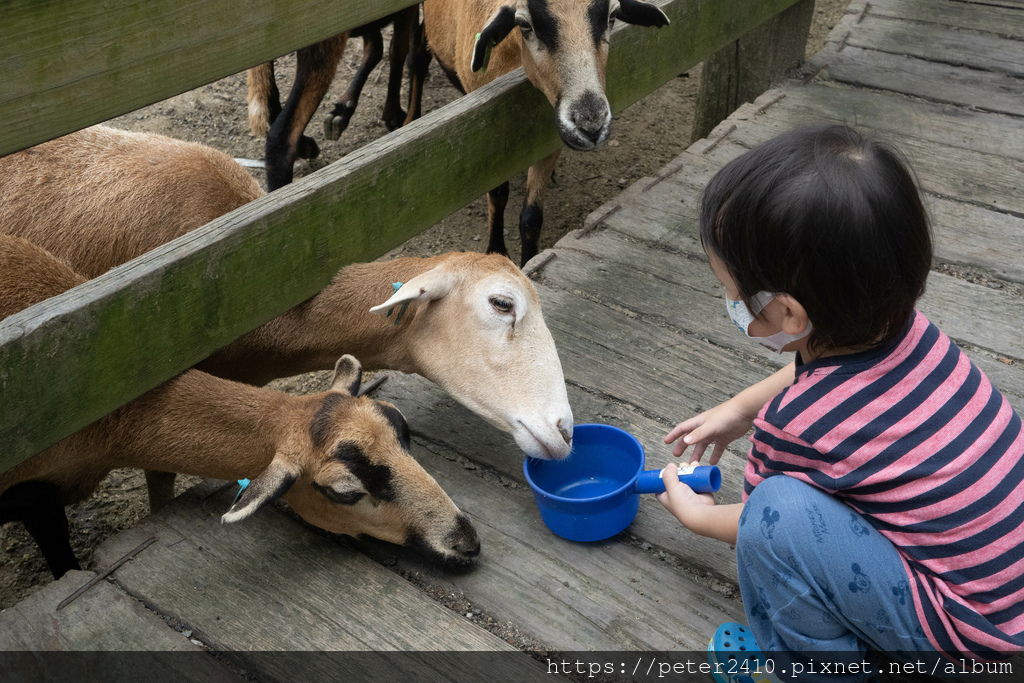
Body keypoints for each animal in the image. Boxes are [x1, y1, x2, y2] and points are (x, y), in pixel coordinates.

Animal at [245, 6, 421, 191]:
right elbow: (397, 51)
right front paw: (394, 115)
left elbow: (377, 47)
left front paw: (343, 110)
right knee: (281, 138)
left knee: (270, 105)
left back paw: (307, 145)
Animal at [411, 0, 667, 266]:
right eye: (524, 25)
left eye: (613, 16)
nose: (591, 125)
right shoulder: (487, 131)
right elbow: (497, 194)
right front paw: (496, 250)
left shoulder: (551, 134)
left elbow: (531, 218)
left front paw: (529, 261)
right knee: (417, 54)